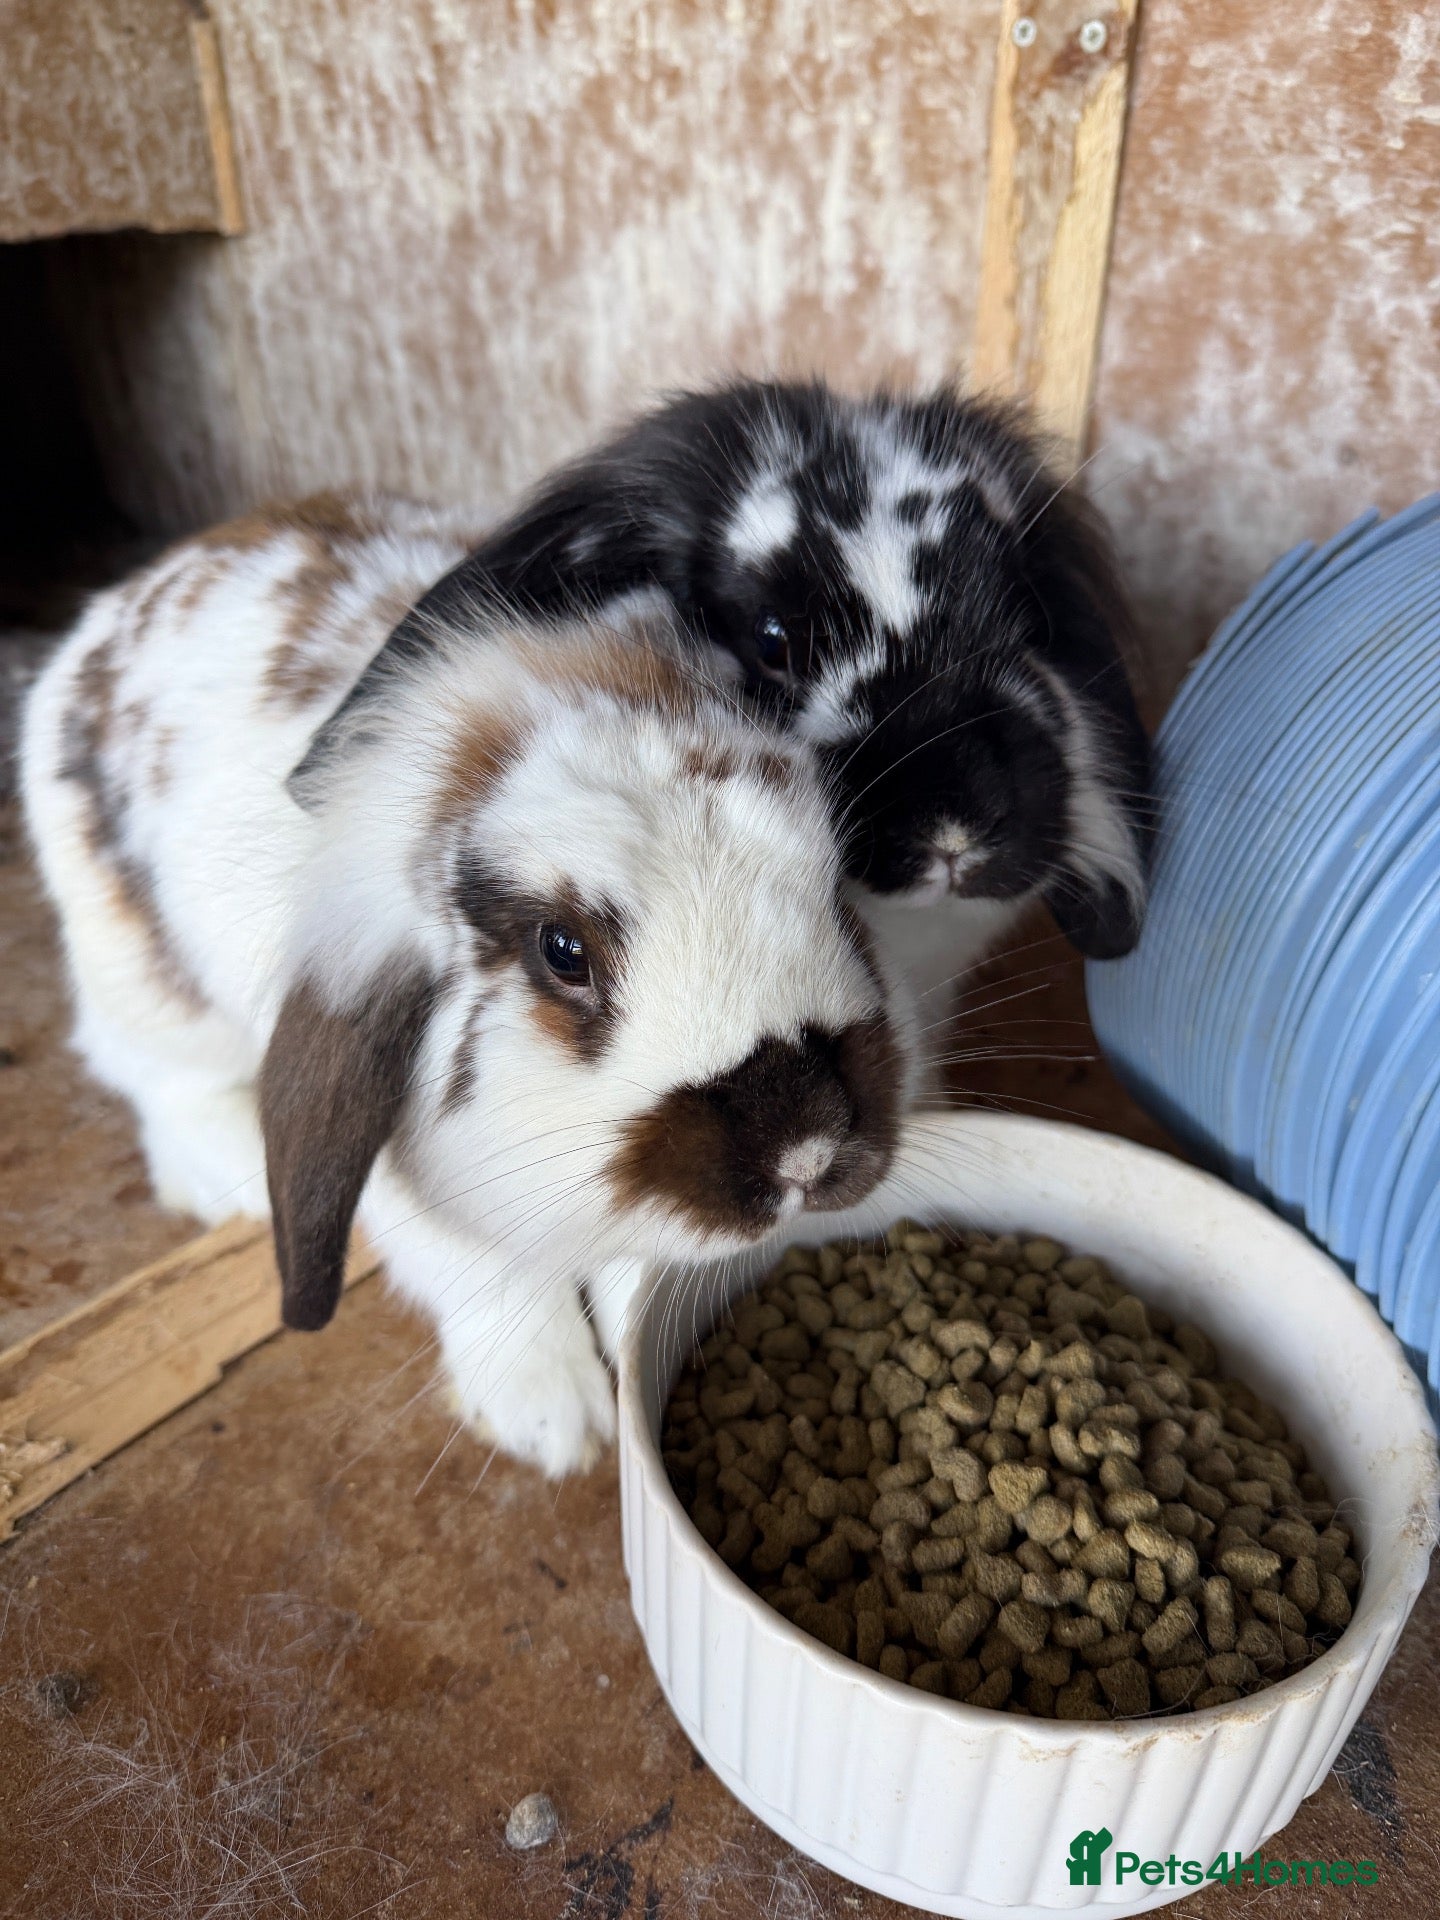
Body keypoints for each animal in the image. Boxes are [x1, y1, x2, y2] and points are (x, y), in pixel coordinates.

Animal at [21, 493, 916, 1476]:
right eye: (563, 950)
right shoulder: (411, 1190)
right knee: (145, 1077)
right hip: (143, 982)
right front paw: (554, 1420)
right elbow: (490, 1279)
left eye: (832, 881)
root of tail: (122, 602)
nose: (807, 1151)